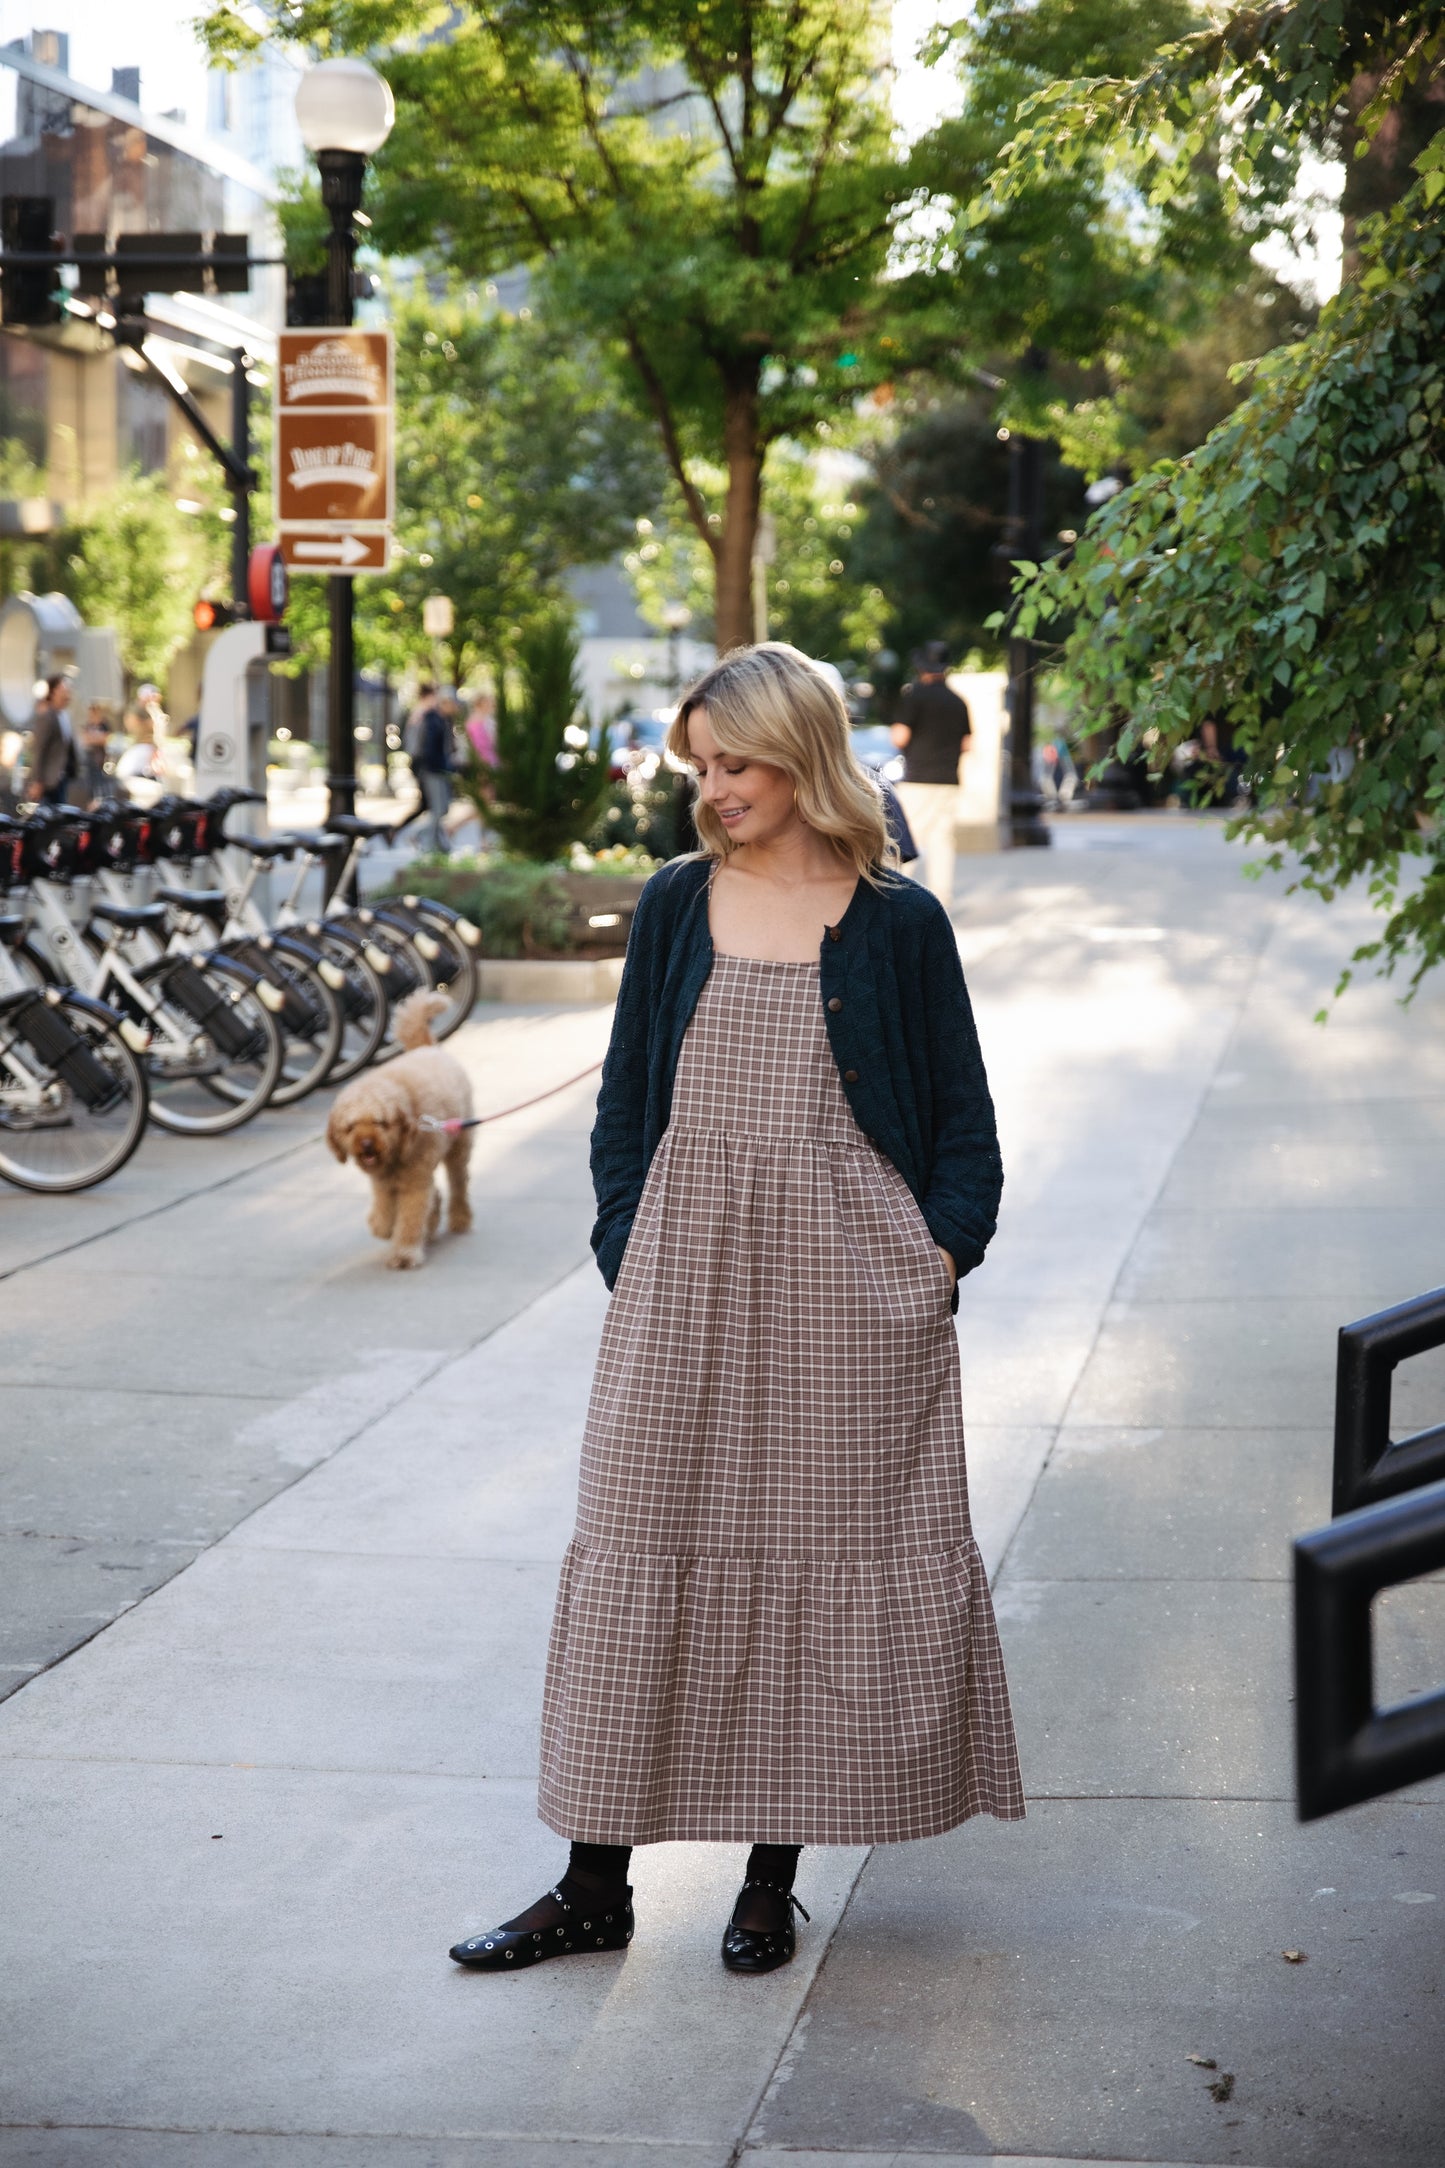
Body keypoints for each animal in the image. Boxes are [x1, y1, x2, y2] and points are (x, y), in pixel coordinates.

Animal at [327, 992, 474, 1274]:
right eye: (350, 1127)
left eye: (380, 1122)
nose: (366, 1144)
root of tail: (427, 1048)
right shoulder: (384, 1181)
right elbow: (386, 1214)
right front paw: (380, 1226)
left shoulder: (414, 1181)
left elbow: (410, 1217)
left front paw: (405, 1253)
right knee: (436, 1193)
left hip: (458, 1147)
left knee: (458, 1183)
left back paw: (460, 1218)